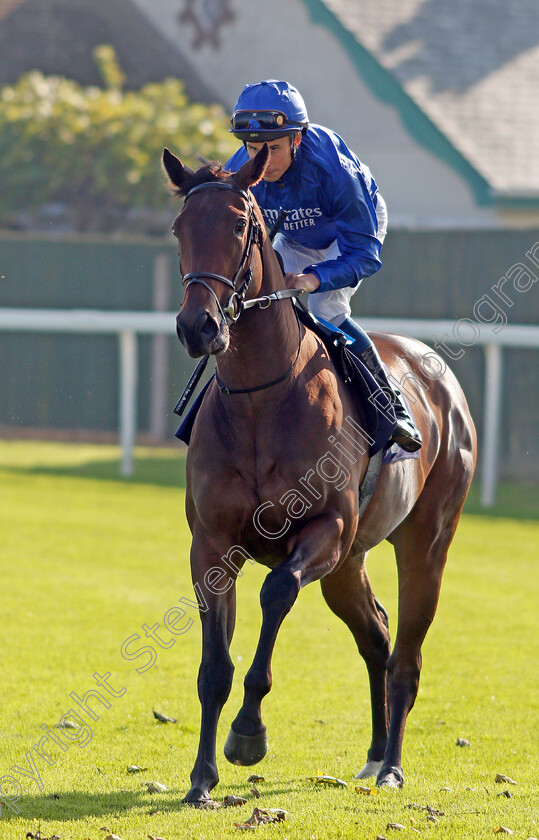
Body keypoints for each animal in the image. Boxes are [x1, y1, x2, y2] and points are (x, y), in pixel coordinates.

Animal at [162, 146, 478, 808]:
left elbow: (276, 591)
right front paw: (202, 777)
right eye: (179, 227)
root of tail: (439, 374)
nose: (199, 326)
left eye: (239, 225)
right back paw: (375, 753)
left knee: (406, 655)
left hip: (423, 544)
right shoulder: (212, 543)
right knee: (376, 635)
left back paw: (392, 767)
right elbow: (214, 667)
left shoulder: (326, 527)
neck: (261, 400)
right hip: (349, 564)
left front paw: (248, 736)